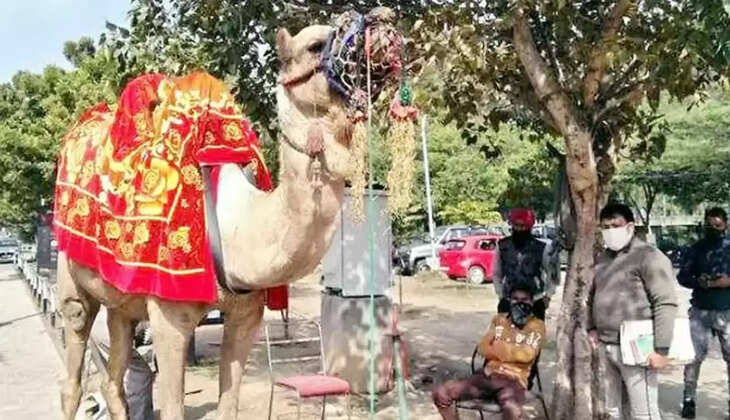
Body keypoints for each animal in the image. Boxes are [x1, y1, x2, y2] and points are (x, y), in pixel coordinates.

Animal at [56, 16, 394, 419]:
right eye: (315, 45)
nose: (381, 30)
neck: (237, 226)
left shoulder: (246, 314)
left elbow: (228, 404)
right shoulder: (169, 317)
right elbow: (172, 407)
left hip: (122, 304)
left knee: (113, 375)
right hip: (71, 276)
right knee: (74, 356)